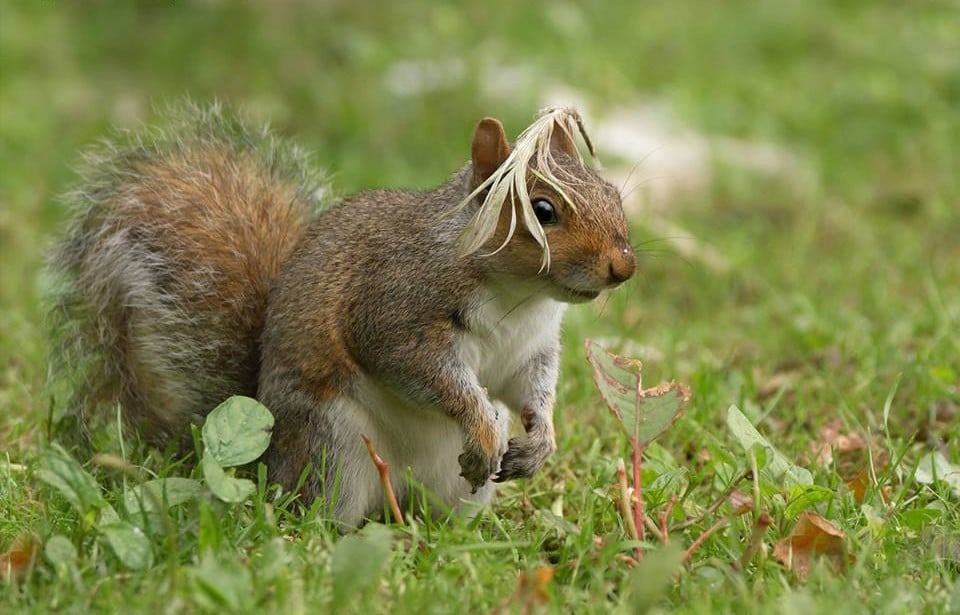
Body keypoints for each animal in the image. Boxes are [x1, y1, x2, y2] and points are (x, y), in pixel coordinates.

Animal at [52, 103, 636, 528]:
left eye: (611, 192)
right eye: (542, 211)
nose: (624, 266)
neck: (521, 298)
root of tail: (268, 462)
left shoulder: (530, 347)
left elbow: (530, 388)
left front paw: (540, 441)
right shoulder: (394, 311)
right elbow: (428, 375)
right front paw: (483, 426)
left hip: (453, 489)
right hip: (332, 447)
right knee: (323, 514)